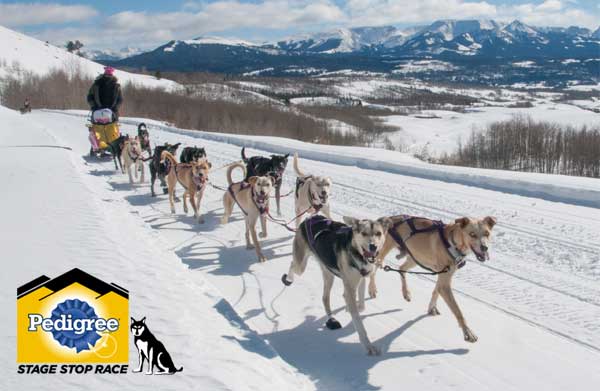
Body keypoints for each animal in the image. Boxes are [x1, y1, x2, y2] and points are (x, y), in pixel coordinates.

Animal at [282, 216, 392, 356]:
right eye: (364, 233)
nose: (373, 246)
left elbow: (361, 305)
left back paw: (331, 319)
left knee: (325, 298)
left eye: (378, 233)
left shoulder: (361, 279)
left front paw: (349, 307)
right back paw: (288, 279)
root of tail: (310, 218)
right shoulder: (350, 287)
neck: (356, 252)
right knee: (292, 265)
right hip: (300, 266)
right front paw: (368, 346)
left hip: (329, 274)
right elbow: (359, 323)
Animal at [370, 216, 496, 344]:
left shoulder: (443, 277)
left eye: (487, 233)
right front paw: (468, 332)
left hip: (415, 258)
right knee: (373, 271)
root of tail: (389, 219)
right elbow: (458, 311)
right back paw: (372, 289)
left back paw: (406, 292)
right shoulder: (445, 283)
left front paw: (432, 308)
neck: (453, 243)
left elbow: (436, 291)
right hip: (382, 254)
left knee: (401, 269)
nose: (484, 247)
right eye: (472, 234)